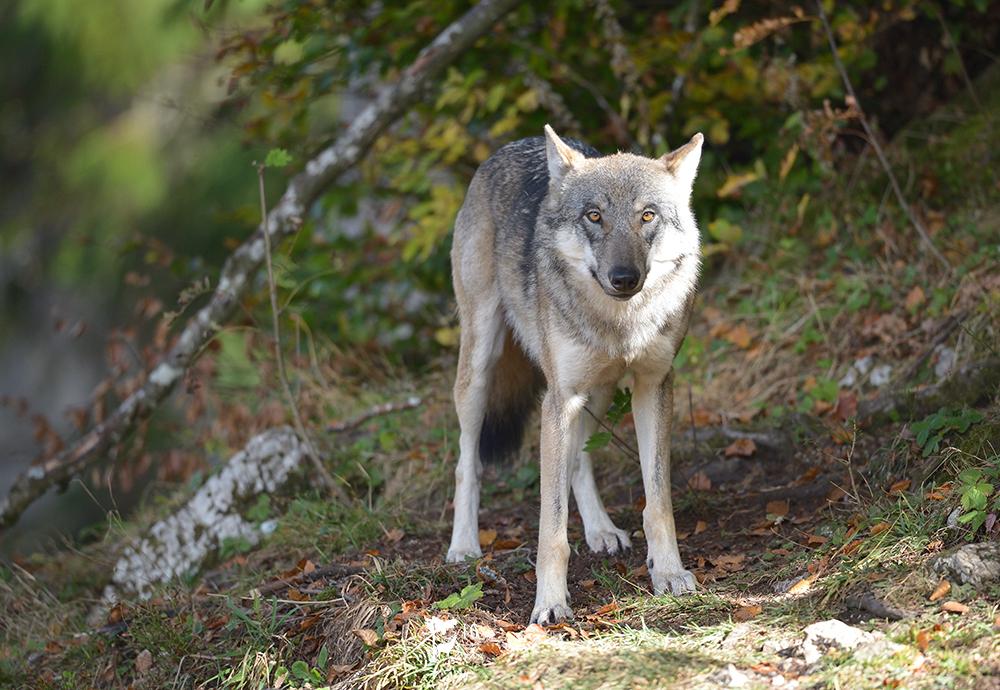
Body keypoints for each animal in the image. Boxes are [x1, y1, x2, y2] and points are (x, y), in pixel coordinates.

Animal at [446, 125, 704, 624]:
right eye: (594, 216)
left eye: (647, 216)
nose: (624, 277)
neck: (620, 323)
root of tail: (517, 143)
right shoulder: (559, 398)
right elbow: (551, 530)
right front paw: (549, 603)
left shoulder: (652, 386)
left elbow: (657, 504)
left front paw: (668, 573)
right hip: (481, 369)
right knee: (468, 463)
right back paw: (463, 545)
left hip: (597, 392)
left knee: (579, 460)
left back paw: (600, 530)